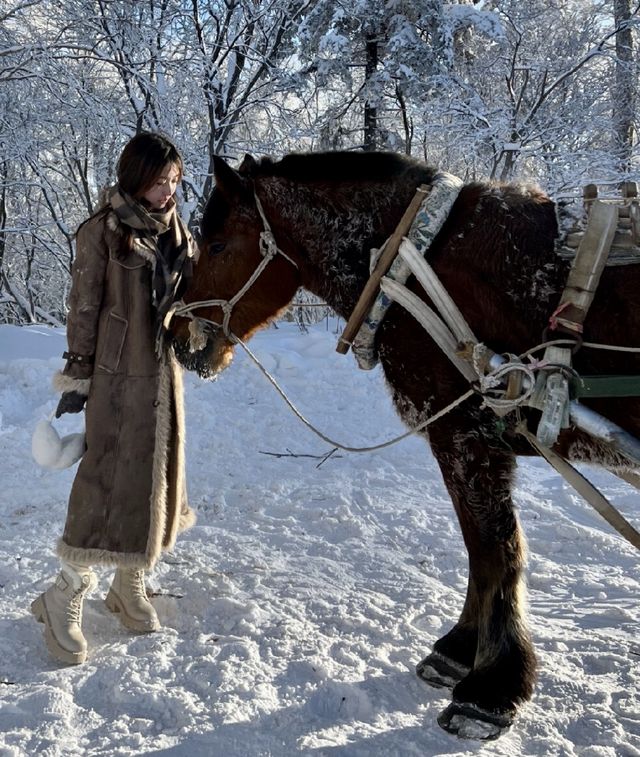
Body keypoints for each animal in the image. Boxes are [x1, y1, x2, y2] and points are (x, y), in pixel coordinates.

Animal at [169, 149, 640, 740]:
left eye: (215, 245)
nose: (178, 338)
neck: (415, 261)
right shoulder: (473, 441)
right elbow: (482, 551)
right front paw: (461, 651)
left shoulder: (466, 436)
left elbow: (494, 550)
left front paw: (491, 689)